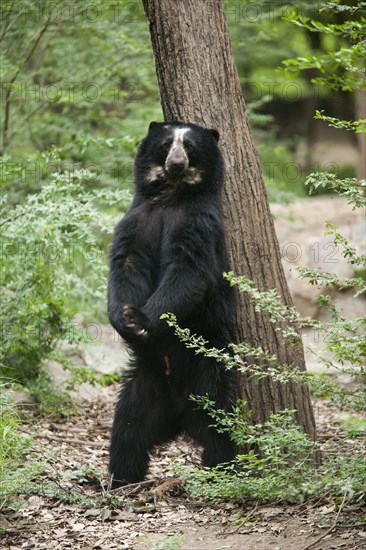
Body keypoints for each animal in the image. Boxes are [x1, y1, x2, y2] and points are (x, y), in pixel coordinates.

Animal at [108, 121, 237, 488]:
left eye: (190, 146)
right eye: (167, 144)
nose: (176, 163)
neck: (171, 198)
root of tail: (178, 413)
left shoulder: (199, 223)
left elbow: (188, 271)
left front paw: (141, 319)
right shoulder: (136, 220)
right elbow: (125, 264)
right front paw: (123, 318)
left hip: (209, 370)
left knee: (220, 421)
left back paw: (224, 468)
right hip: (142, 387)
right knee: (127, 430)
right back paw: (120, 477)